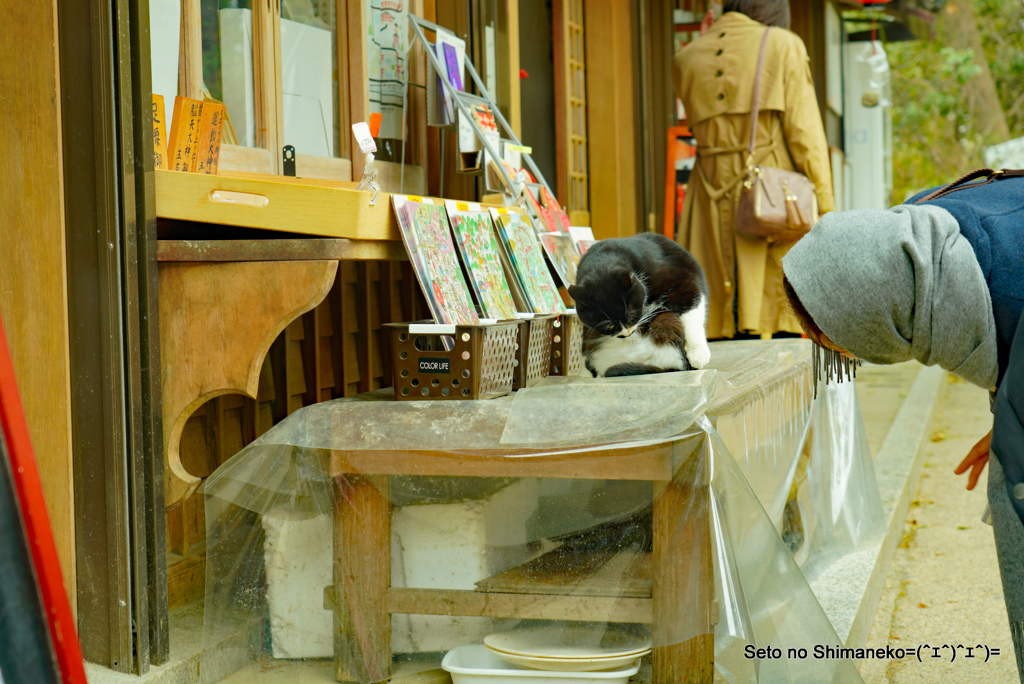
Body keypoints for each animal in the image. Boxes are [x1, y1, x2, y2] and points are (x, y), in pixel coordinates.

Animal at [565, 232, 708, 376]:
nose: (627, 333)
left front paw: (698, 352)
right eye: (610, 325)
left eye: (631, 314)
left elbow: (691, 311)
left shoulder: (682, 280)